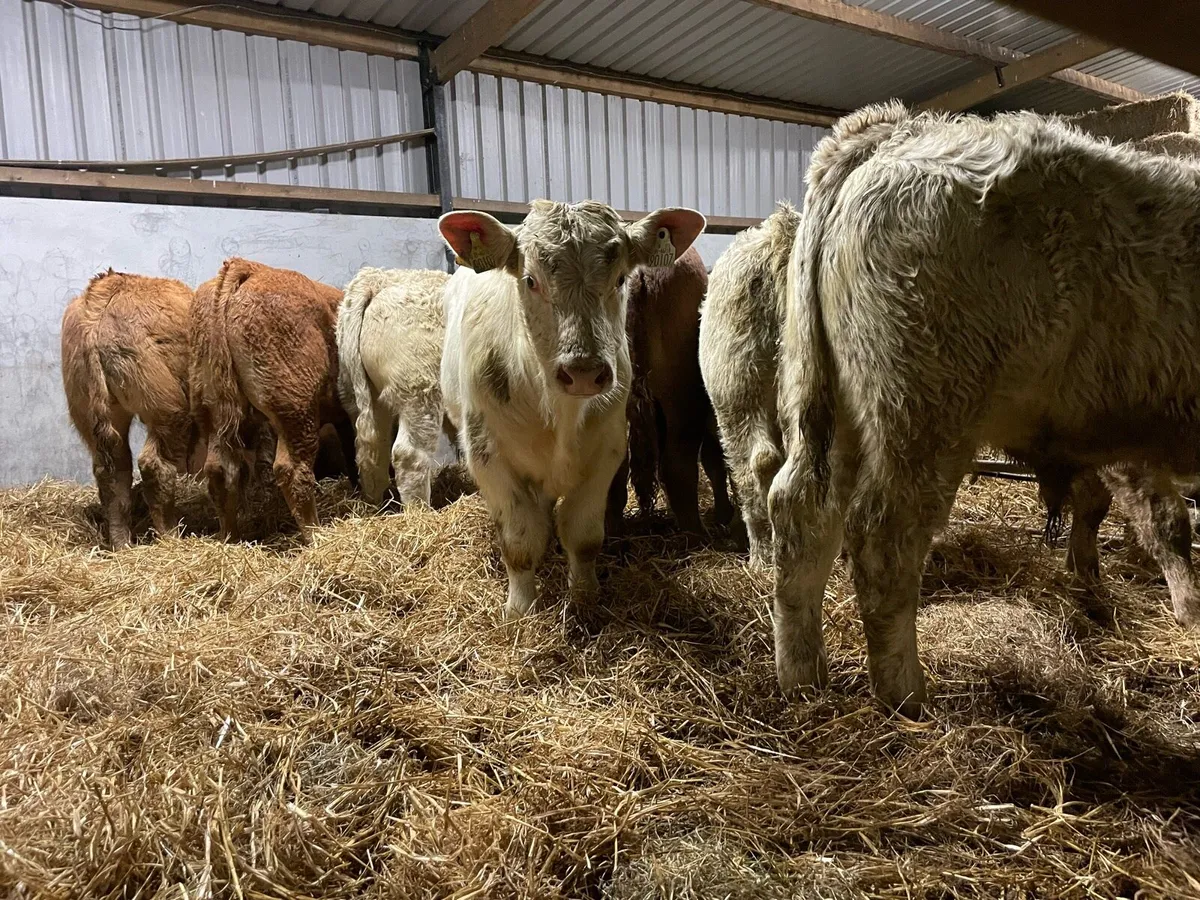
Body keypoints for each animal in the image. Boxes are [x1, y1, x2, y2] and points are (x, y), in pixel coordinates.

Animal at [61, 270, 199, 548]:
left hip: (94, 412)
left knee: (113, 472)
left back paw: (121, 545)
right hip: (169, 411)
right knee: (156, 467)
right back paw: (170, 538)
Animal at [190, 259, 354, 543]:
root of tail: (250, 267)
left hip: (211, 411)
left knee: (219, 470)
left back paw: (230, 537)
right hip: (296, 410)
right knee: (293, 470)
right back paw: (315, 536)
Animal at [337, 267, 452, 506]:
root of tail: (377, 278)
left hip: (356, 393)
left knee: (374, 453)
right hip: (420, 390)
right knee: (409, 456)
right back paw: (420, 511)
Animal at [438, 199, 705, 618]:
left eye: (620, 279)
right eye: (530, 280)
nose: (583, 372)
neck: (558, 413)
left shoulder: (606, 450)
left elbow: (583, 535)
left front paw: (584, 598)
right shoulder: (488, 457)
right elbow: (519, 540)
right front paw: (520, 608)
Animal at [769, 101, 1200, 717]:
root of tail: (900, 129)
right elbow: (1167, 521)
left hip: (834, 407)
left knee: (802, 512)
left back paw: (802, 681)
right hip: (924, 414)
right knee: (883, 539)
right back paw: (906, 698)